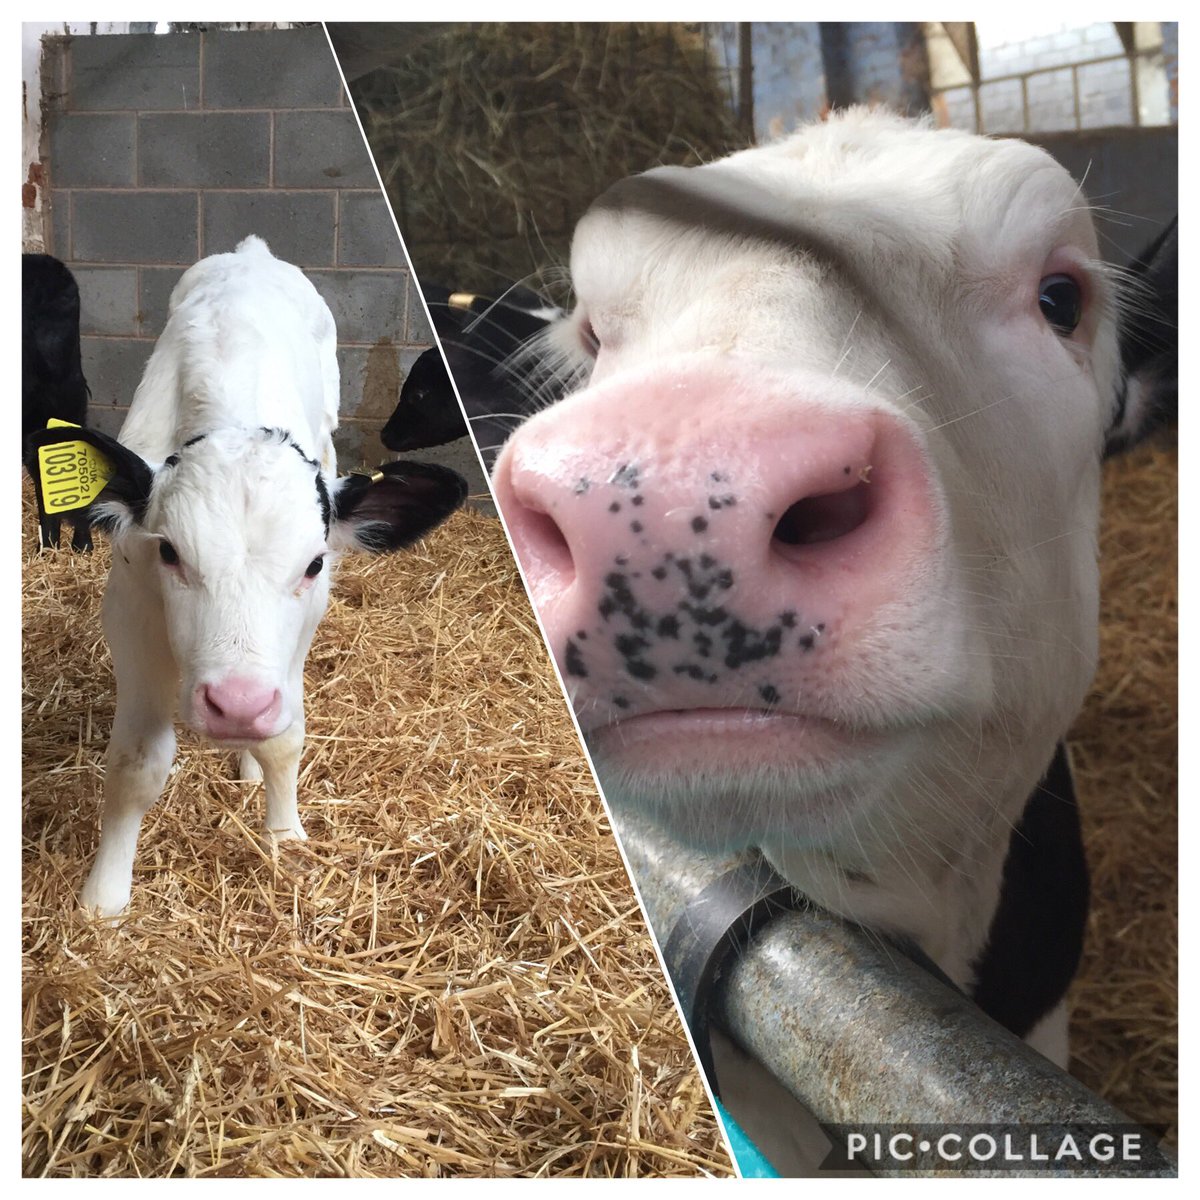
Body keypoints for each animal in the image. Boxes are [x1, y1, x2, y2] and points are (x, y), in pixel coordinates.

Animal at [27, 236, 467, 917]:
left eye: (313, 563)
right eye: (171, 553)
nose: (237, 705)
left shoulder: (305, 625)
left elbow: (285, 738)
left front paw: (284, 835)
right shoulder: (131, 604)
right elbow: (136, 764)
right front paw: (104, 897)